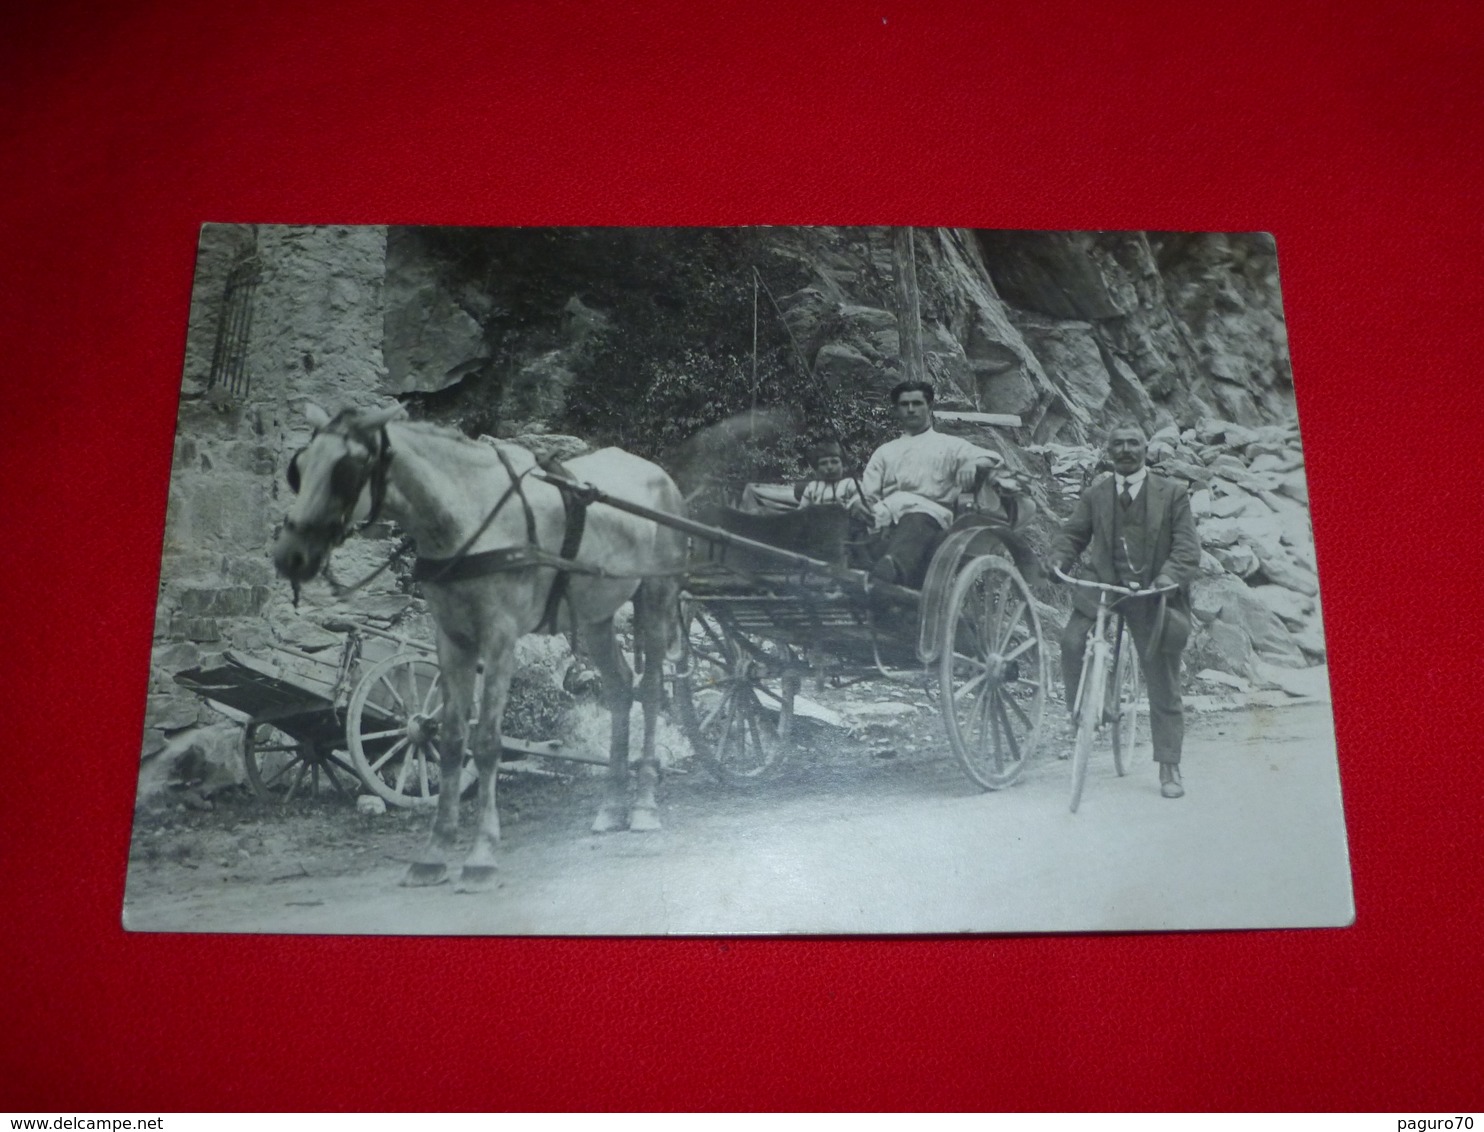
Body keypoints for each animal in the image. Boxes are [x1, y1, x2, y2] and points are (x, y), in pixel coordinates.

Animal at [276, 403, 685, 890]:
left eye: (345, 471)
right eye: (298, 468)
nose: (290, 556)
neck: (467, 515)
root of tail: (658, 473)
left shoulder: (500, 638)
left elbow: (487, 742)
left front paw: (481, 855)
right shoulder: (452, 640)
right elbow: (452, 740)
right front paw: (434, 854)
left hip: (655, 599)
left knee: (653, 689)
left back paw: (643, 807)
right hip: (597, 616)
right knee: (621, 687)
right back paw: (610, 807)